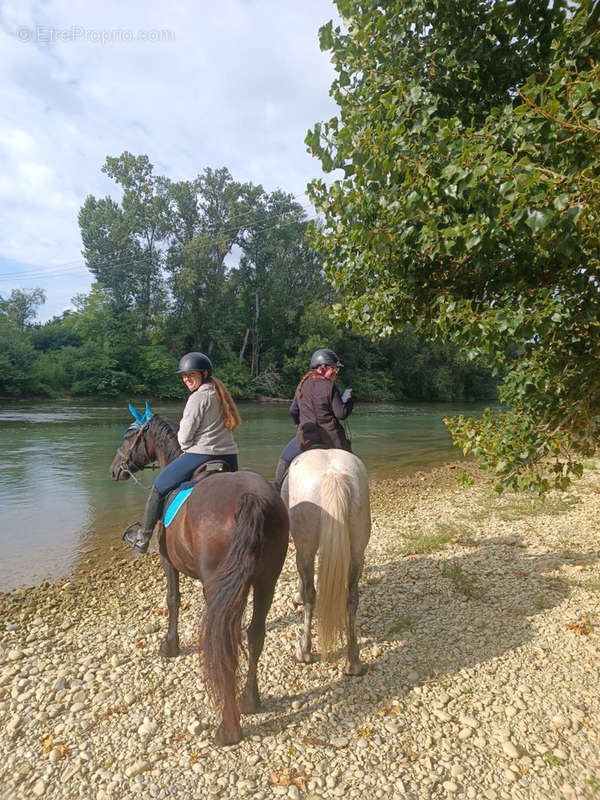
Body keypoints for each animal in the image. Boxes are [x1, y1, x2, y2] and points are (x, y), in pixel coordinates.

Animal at [109, 410, 290, 748]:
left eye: (128, 435)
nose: (115, 469)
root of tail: (252, 499)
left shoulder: (168, 563)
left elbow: (173, 600)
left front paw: (170, 645)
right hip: (266, 582)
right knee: (254, 634)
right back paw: (249, 701)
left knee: (224, 641)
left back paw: (228, 728)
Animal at [282, 450, 370, 676]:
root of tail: (333, 475)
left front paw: (296, 596)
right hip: (357, 551)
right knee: (351, 597)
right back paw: (353, 661)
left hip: (305, 548)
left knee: (311, 595)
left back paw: (304, 651)